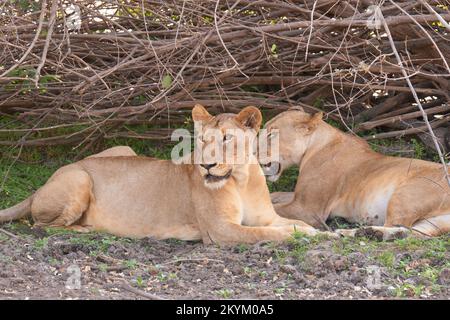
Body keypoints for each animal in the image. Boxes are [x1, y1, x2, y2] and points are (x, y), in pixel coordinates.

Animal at [0, 106, 326, 244]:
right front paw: (300, 235)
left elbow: (295, 222)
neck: (241, 179)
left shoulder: (266, 216)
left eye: (225, 139)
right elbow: (266, 233)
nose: (207, 166)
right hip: (80, 178)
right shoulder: (220, 230)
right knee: (40, 225)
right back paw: (87, 229)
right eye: (202, 140)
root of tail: (47, 180)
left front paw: (326, 232)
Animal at [258, 109, 450, 239]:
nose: (252, 150)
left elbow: (274, 209)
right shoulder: (299, 198)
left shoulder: (308, 209)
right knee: (414, 232)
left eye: (271, 134)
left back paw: (367, 233)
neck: (314, 146)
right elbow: (275, 195)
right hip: (435, 221)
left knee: (398, 224)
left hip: (407, 194)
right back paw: (358, 233)